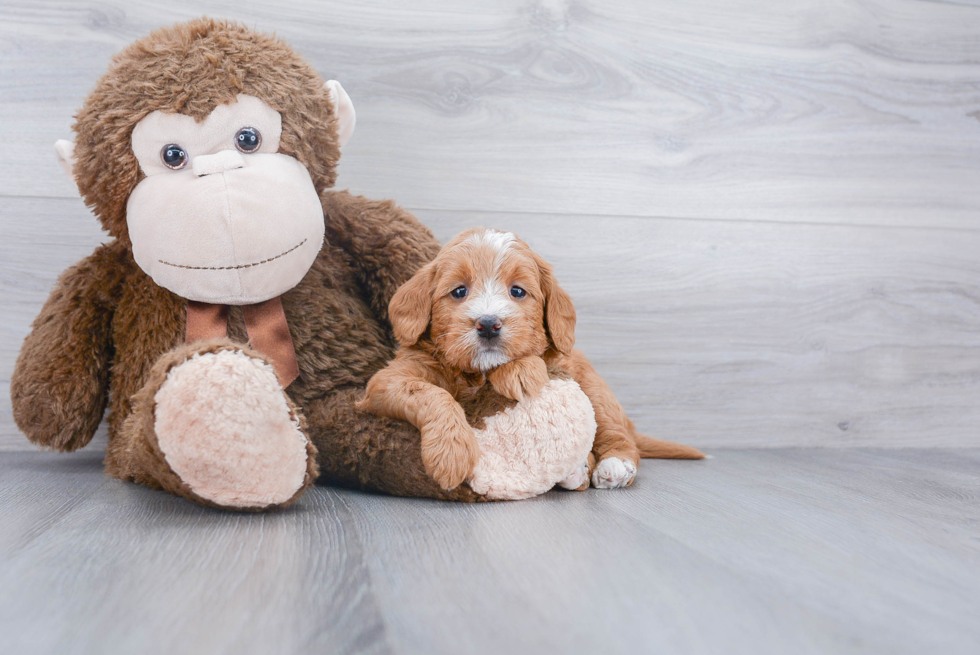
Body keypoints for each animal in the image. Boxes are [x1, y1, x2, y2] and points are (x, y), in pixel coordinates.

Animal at [358, 228, 704, 490]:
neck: (476, 374)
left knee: (617, 435)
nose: (488, 324)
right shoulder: (386, 381)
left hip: (596, 390)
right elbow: (433, 394)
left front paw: (519, 372)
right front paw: (451, 454)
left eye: (518, 292)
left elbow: (532, 359)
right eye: (458, 291)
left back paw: (612, 466)